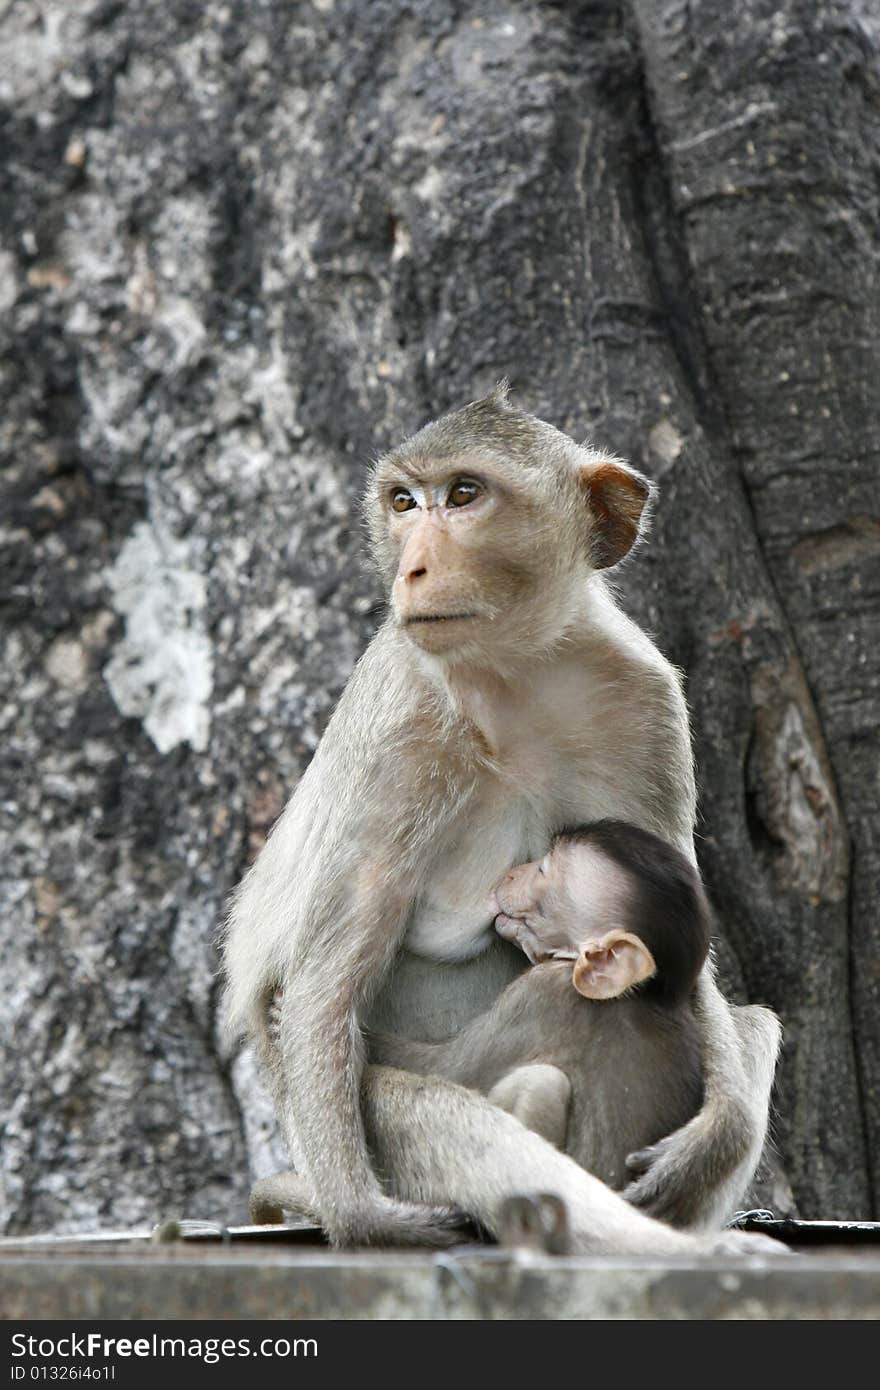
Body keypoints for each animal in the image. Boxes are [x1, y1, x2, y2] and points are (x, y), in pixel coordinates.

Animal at [369, 817, 706, 1189]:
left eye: (543, 869)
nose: (513, 872)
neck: (645, 994)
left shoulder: (538, 995)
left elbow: (446, 1069)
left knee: (543, 1083)